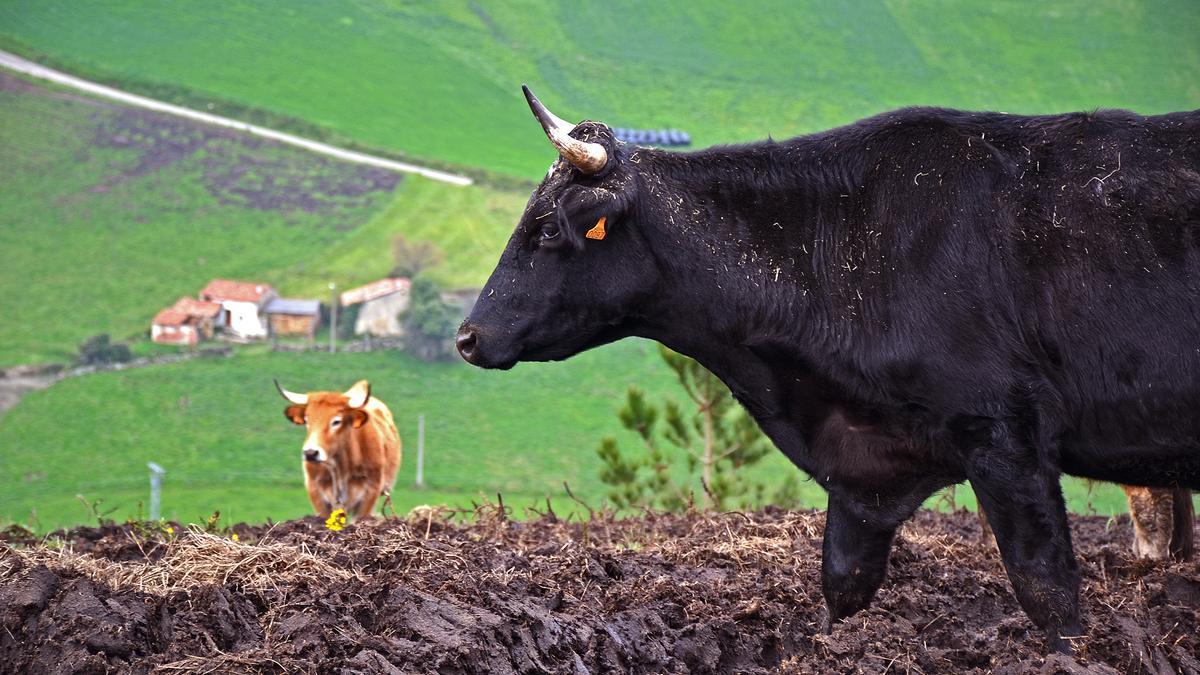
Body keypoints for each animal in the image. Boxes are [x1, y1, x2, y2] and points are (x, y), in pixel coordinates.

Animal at [273, 379, 400, 514]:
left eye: (336, 421)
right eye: (307, 420)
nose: (310, 453)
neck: (340, 470)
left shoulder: (370, 494)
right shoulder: (316, 492)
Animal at [456, 86, 1200, 648]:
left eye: (547, 230)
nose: (467, 336)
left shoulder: (1005, 437)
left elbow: (1048, 590)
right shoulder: (865, 471)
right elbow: (842, 584)